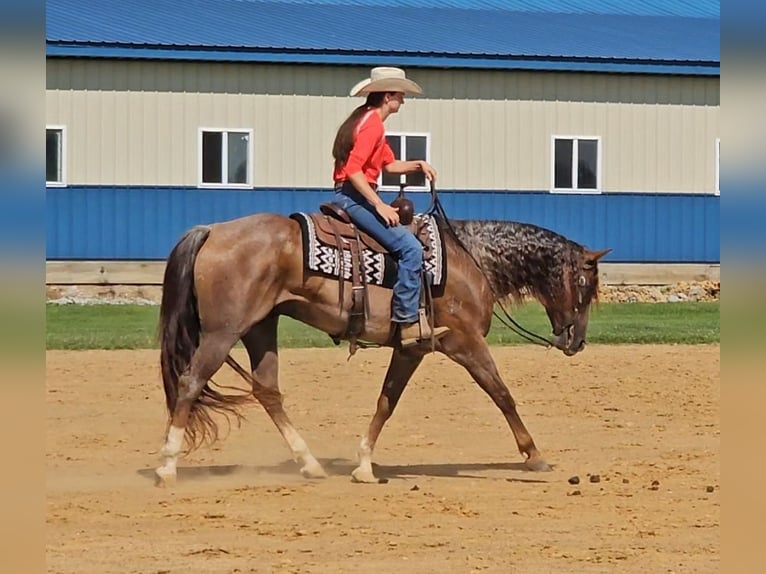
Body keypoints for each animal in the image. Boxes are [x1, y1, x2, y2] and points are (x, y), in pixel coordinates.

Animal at [154, 207, 612, 486]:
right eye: (585, 285)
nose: (578, 341)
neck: (471, 259)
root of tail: (213, 230)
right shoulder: (464, 342)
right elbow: (501, 394)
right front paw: (534, 455)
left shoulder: (412, 348)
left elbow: (386, 401)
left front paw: (363, 465)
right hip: (223, 332)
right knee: (191, 382)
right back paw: (167, 466)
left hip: (260, 328)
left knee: (267, 391)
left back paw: (310, 464)